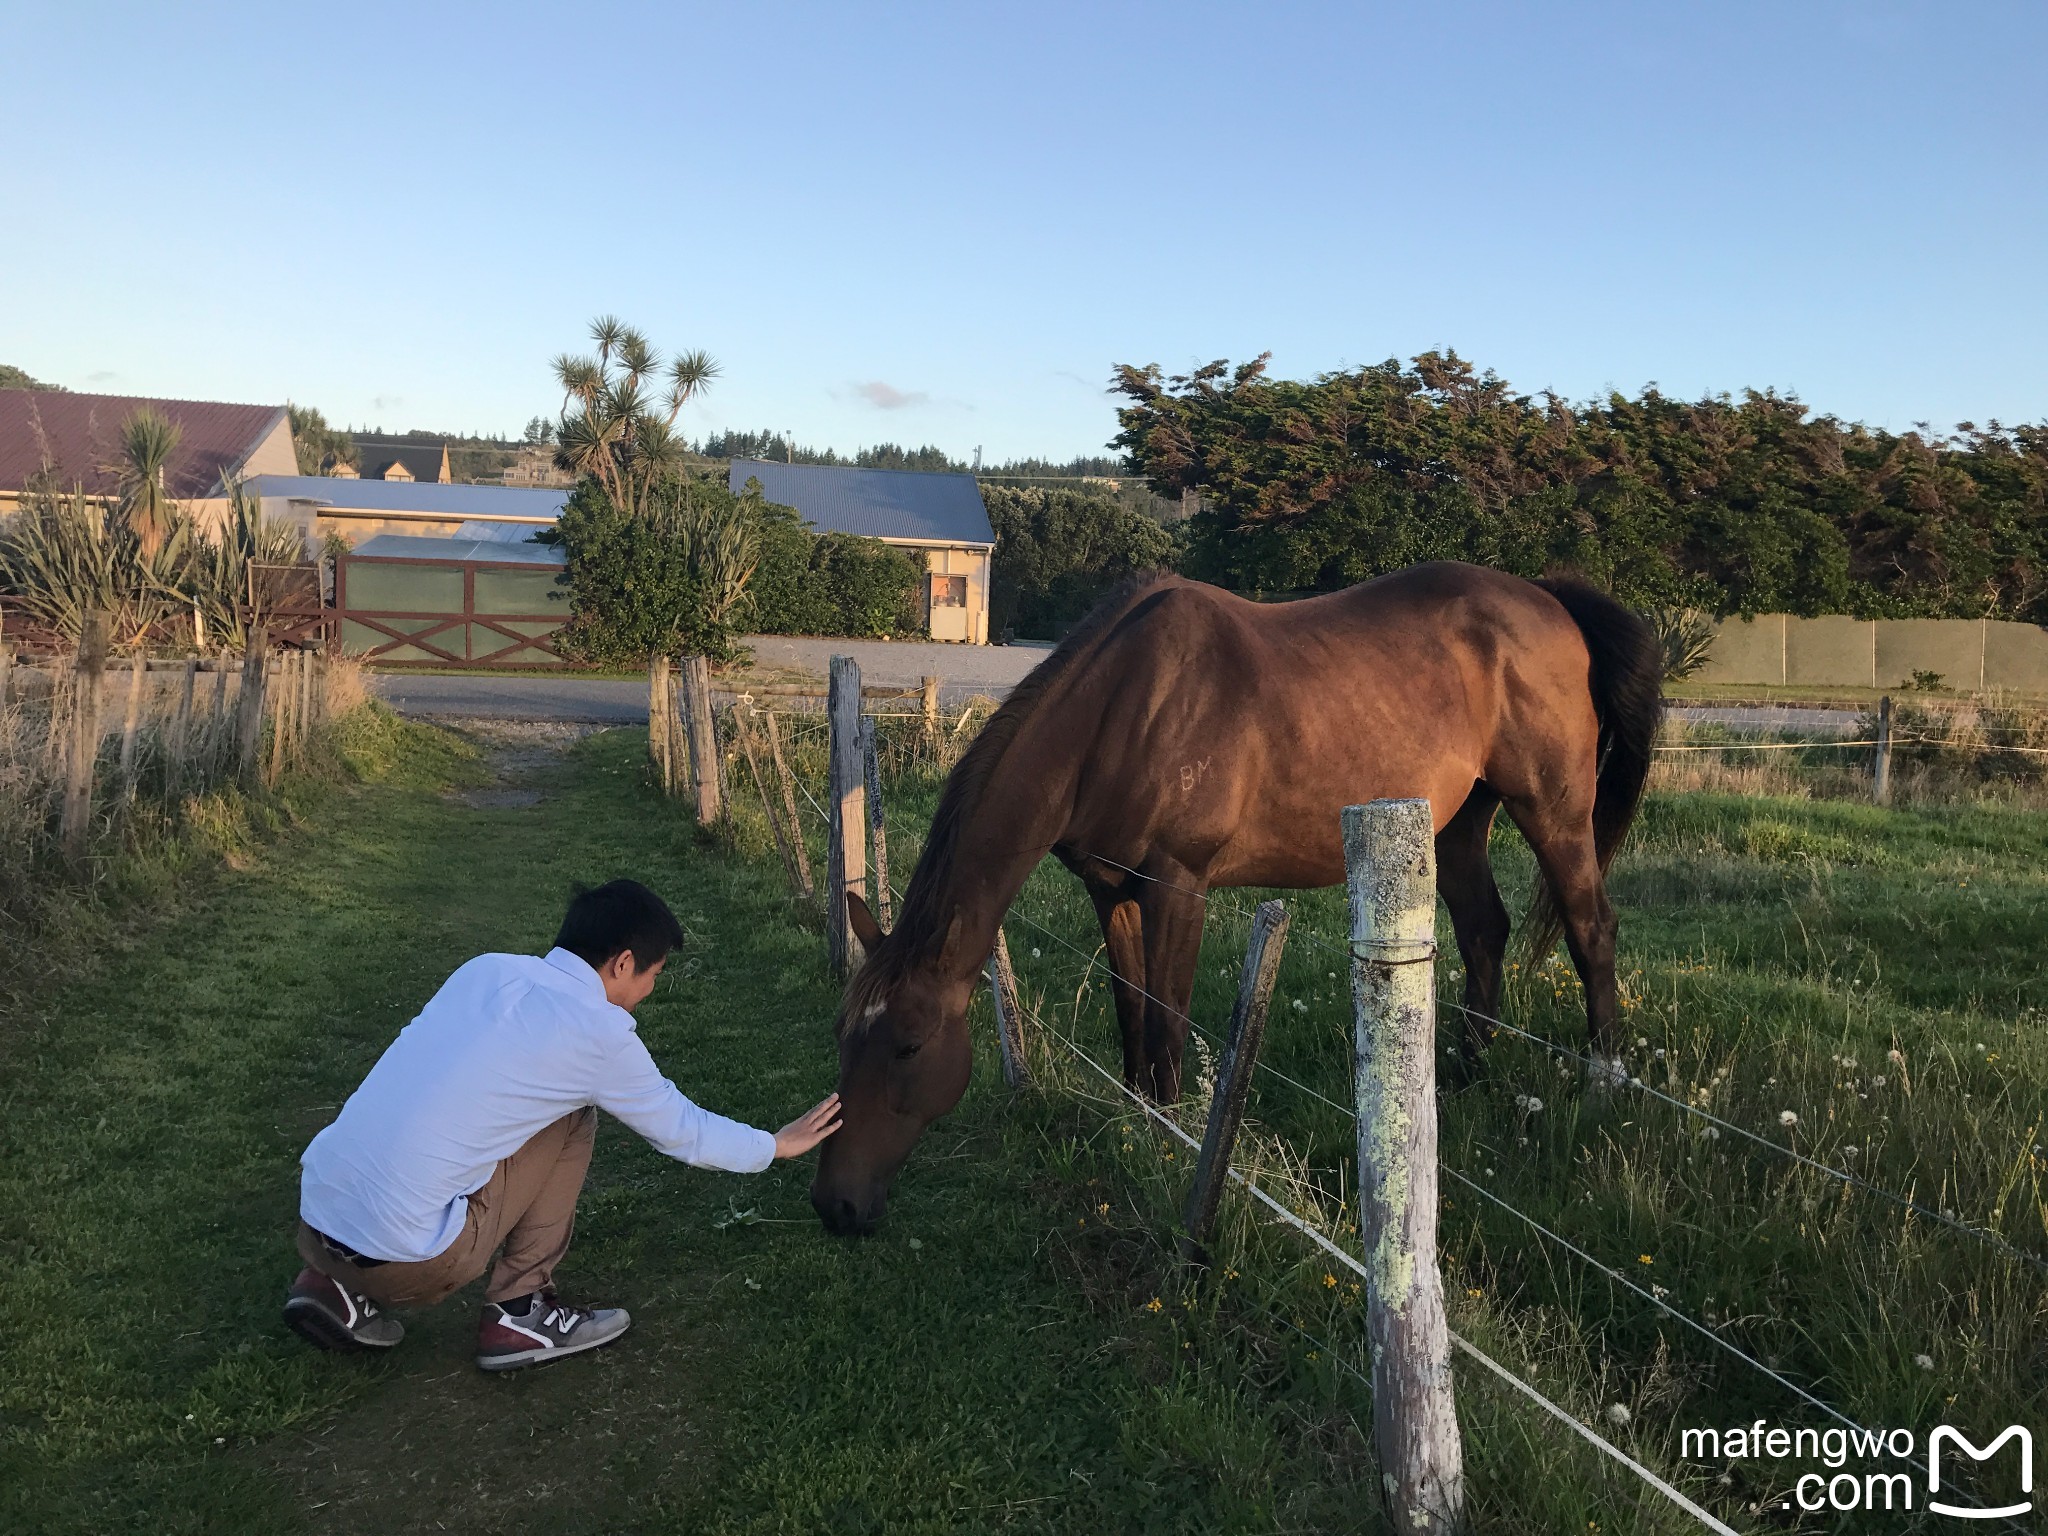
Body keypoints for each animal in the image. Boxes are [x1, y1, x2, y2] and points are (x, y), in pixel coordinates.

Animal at [806, 565, 1654, 1236]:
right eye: (844, 1036)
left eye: (908, 1045)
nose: (834, 1205)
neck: (1123, 709)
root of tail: (1548, 599)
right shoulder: (1112, 892)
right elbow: (1133, 1019)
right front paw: (1140, 1129)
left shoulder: (1180, 888)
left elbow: (1169, 1030)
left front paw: (1168, 1143)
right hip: (1456, 824)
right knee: (1484, 933)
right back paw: (1465, 1076)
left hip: (1553, 810)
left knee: (1592, 930)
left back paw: (1604, 1083)